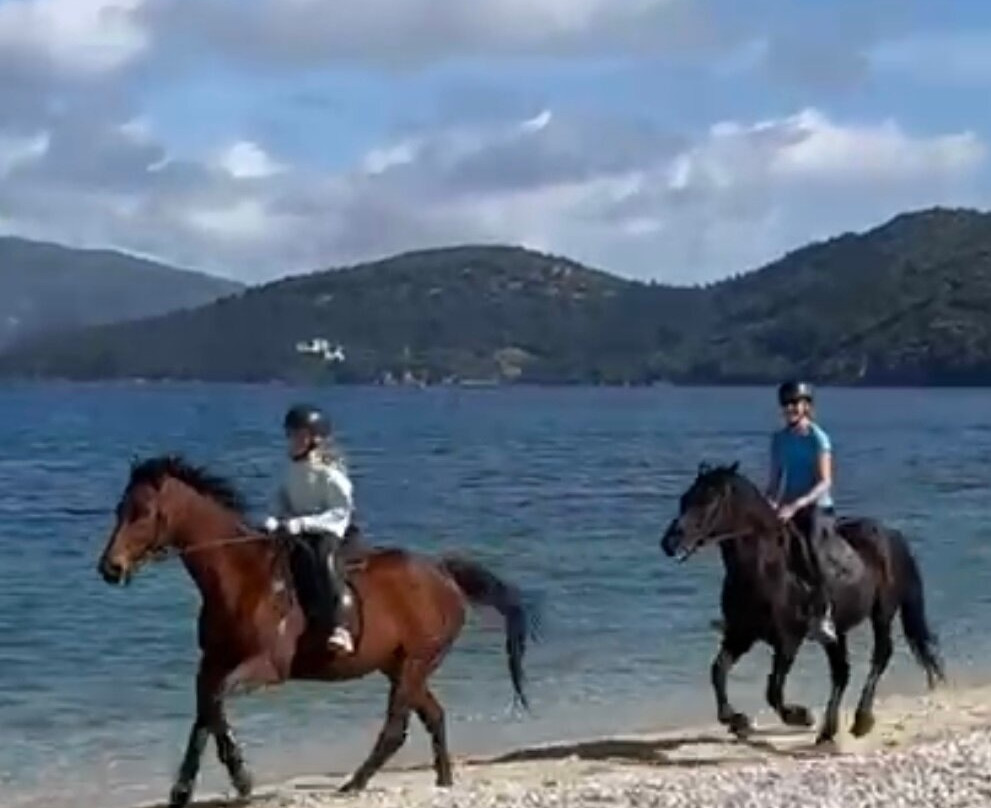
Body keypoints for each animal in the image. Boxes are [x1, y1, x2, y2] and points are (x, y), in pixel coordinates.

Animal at [96, 455, 538, 807]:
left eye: (142, 512)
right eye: (120, 508)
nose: (109, 568)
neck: (241, 577)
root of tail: (443, 573)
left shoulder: (266, 667)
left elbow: (216, 704)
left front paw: (242, 778)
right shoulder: (213, 663)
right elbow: (205, 712)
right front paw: (184, 789)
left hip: (415, 662)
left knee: (396, 728)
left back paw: (354, 784)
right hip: (400, 666)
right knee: (434, 715)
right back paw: (443, 781)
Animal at [659, 462, 945, 746]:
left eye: (708, 501)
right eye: (684, 499)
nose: (669, 543)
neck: (764, 569)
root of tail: (892, 534)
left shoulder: (788, 640)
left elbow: (773, 690)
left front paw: (801, 716)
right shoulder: (741, 634)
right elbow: (718, 671)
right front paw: (738, 721)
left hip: (882, 612)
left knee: (880, 656)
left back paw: (861, 721)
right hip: (838, 629)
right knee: (841, 671)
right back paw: (828, 732)